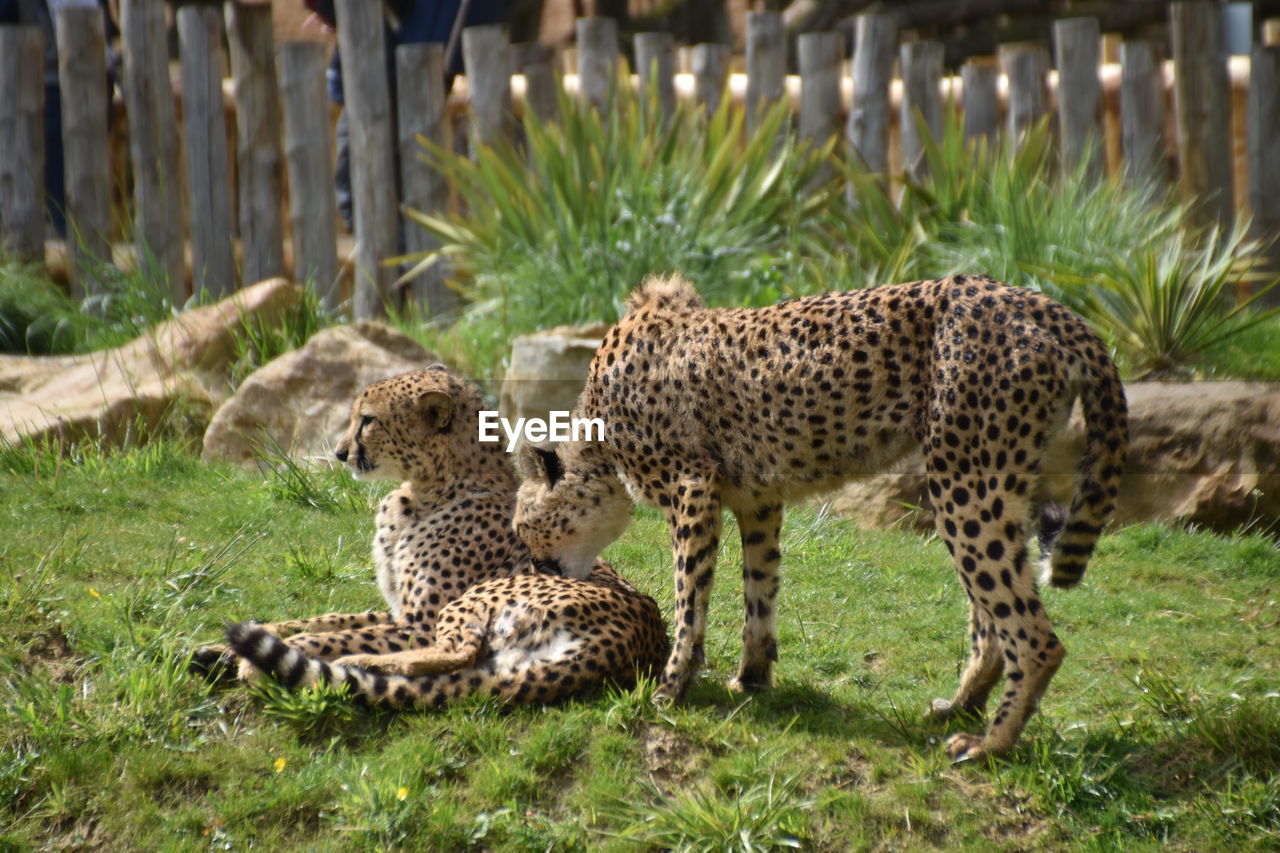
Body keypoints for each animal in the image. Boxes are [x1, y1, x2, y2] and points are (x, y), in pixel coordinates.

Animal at [226, 563, 670, 701]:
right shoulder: (401, 616)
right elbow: (332, 620)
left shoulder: (418, 625)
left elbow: (336, 633)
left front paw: (248, 663)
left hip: (479, 600)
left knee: (459, 653)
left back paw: (359, 662)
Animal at [514, 272, 1126, 758]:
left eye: (524, 527)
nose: (537, 569)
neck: (598, 436)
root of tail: (1041, 303)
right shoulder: (756, 499)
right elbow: (760, 590)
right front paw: (751, 679)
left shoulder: (692, 488)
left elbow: (690, 597)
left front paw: (670, 688)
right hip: (993, 483)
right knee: (993, 619)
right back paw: (960, 707)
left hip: (964, 481)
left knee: (1033, 633)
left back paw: (991, 744)